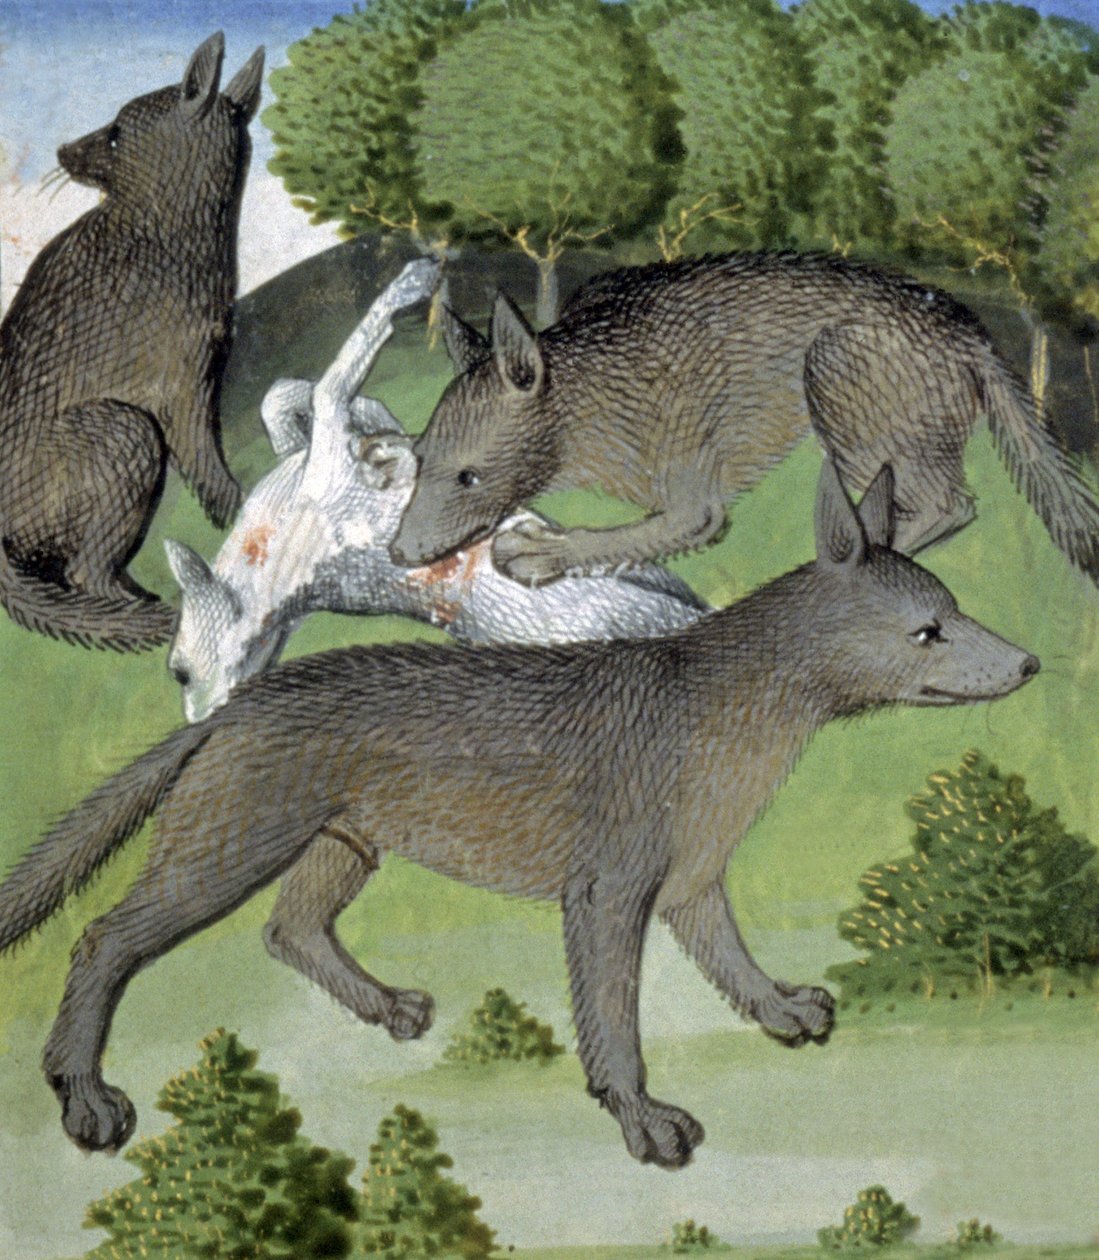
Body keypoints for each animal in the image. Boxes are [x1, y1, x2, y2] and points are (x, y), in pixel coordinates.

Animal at [0, 33, 263, 651]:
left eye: (116, 132)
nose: (62, 149)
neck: (158, 230)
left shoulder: (201, 373)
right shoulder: (182, 384)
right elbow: (207, 461)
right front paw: (241, 510)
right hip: (122, 433)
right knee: (83, 570)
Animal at [0, 460, 1038, 1167]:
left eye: (954, 608)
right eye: (928, 631)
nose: (1027, 663)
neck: (731, 719)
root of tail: (234, 706)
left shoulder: (695, 879)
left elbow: (733, 965)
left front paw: (786, 1011)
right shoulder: (609, 890)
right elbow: (612, 1023)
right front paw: (648, 1126)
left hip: (345, 843)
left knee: (288, 929)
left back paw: (393, 1008)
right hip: (228, 847)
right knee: (103, 939)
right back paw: (87, 1101)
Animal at [166, 259, 705, 722]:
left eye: (177, 672)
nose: (205, 721)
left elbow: (287, 398)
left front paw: (381, 432)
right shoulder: (327, 456)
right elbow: (331, 382)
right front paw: (414, 279)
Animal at [390, 252, 1099, 588]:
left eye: (470, 479)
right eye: (420, 461)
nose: (398, 553)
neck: (585, 389)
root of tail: (972, 337)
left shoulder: (685, 477)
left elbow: (654, 529)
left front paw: (542, 549)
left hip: (840, 377)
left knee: (948, 505)